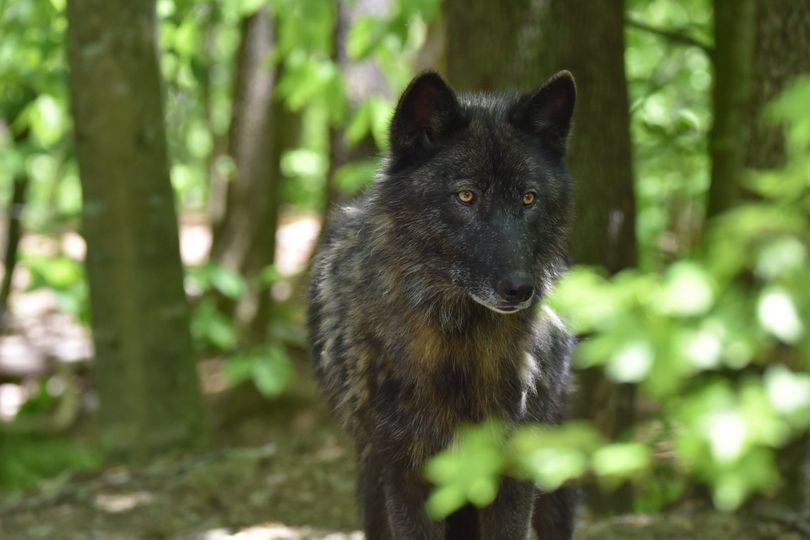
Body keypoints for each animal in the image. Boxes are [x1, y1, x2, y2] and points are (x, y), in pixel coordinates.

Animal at [308, 71, 576, 540]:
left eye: (528, 199)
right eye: (466, 196)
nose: (520, 289)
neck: (461, 349)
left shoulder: (511, 474)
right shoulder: (407, 476)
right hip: (373, 483)